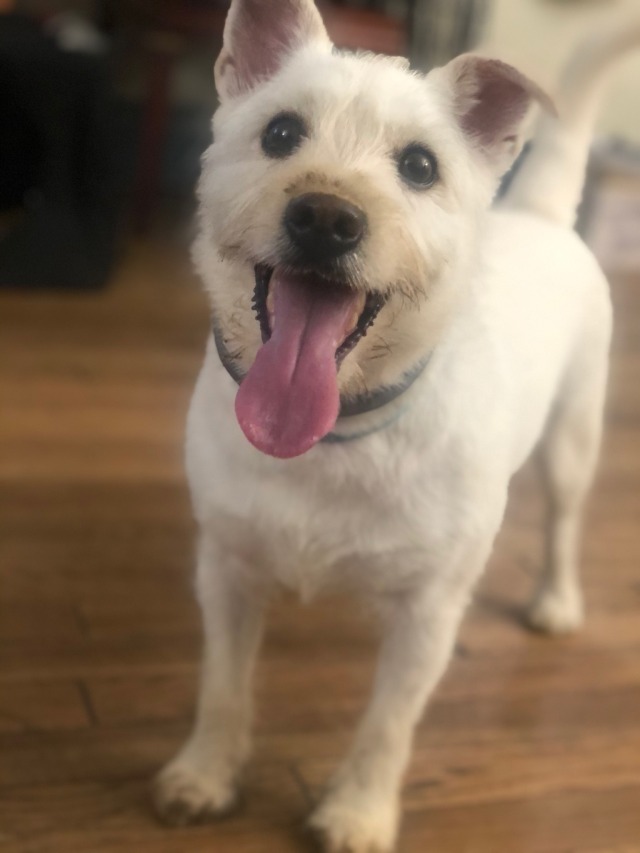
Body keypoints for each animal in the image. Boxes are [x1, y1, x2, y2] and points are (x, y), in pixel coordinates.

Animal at [154, 3, 640, 848]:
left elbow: (388, 724)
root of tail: (539, 214)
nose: (325, 216)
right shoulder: (227, 572)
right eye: (280, 132)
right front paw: (206, 772)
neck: (339, 430)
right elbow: (223, 683)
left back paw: (556, 598)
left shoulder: (428, 616)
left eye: (419, 166)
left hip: (572, 444)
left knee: (563, 524)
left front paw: (358, 808)